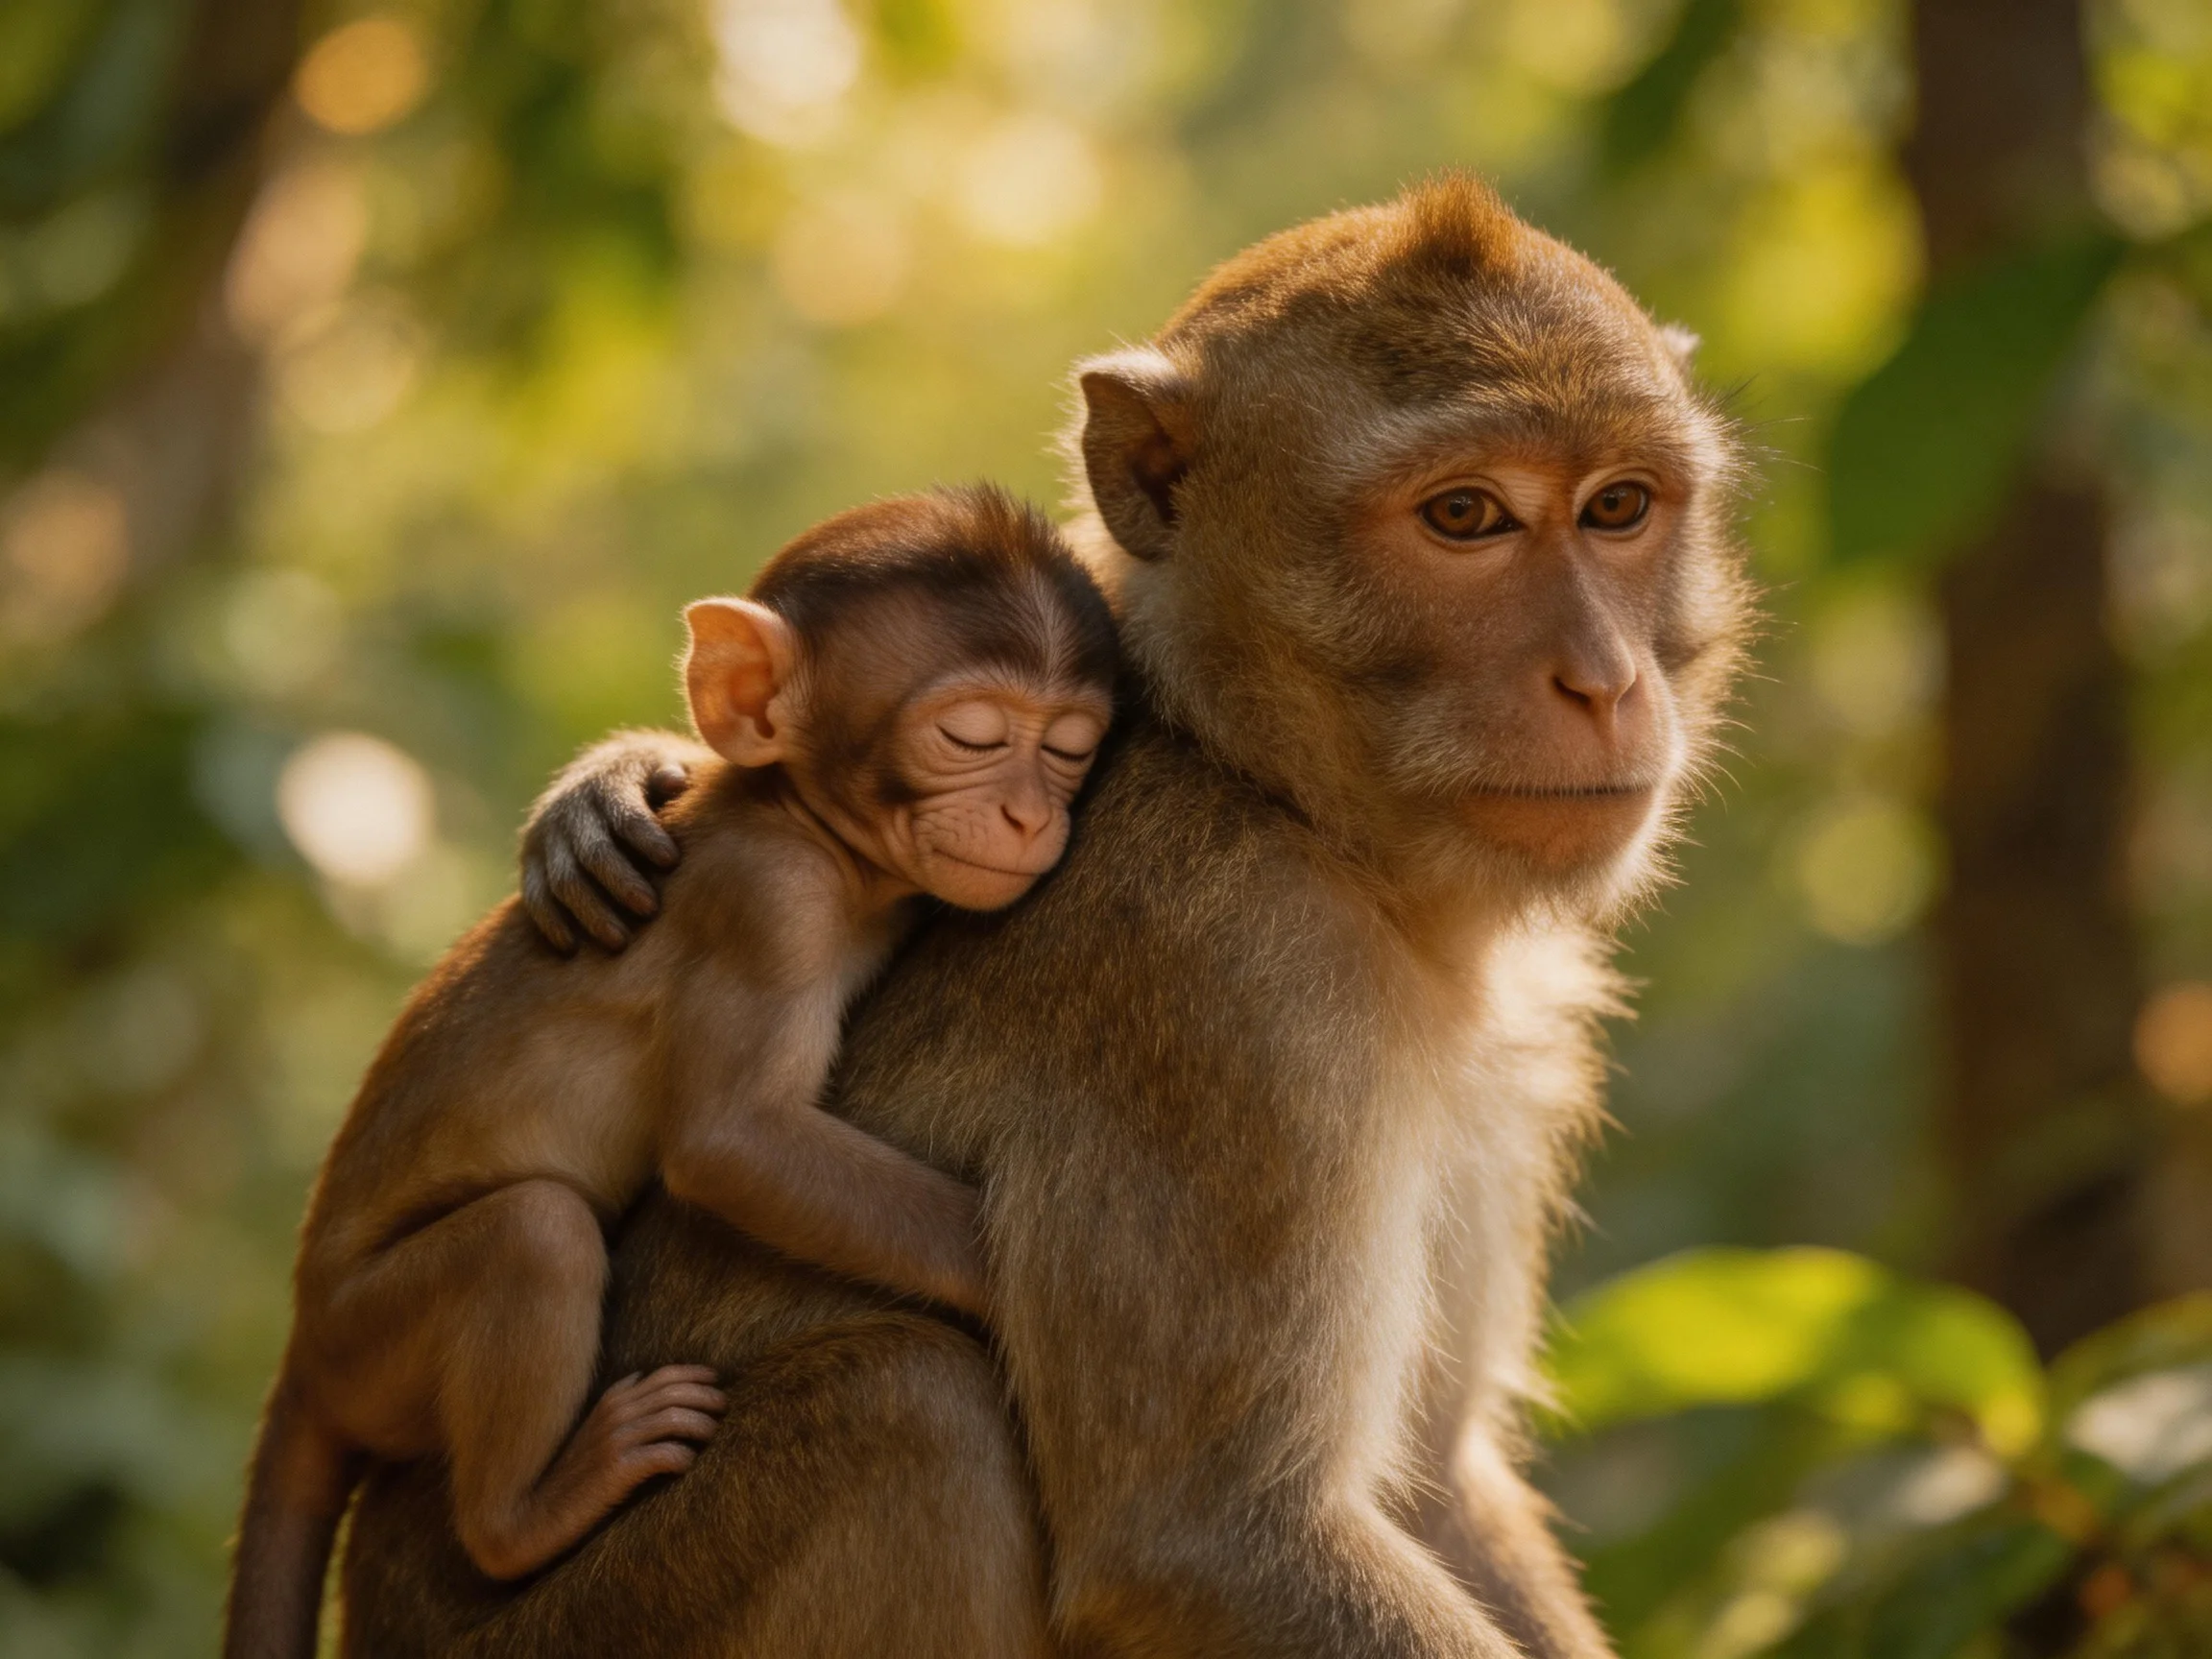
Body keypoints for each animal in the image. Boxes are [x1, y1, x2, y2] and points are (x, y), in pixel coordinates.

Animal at [222, 486, 1118, 1659]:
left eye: (1070, 749)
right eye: (970, 734)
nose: (1031, 815)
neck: (804, 825)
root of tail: (303, 1348)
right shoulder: (770, 903)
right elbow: (733, 1140)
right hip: (373, 1343)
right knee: (533, 1233)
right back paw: (529, 1510)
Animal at [337, 174, 1752, 1659]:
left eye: (1619, 507)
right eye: (1467, 516)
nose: (1605, 681)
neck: (1277, 794)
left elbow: (1432, 1477)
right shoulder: (1237, 981)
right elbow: (1209, 1539)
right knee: (918, 1416)